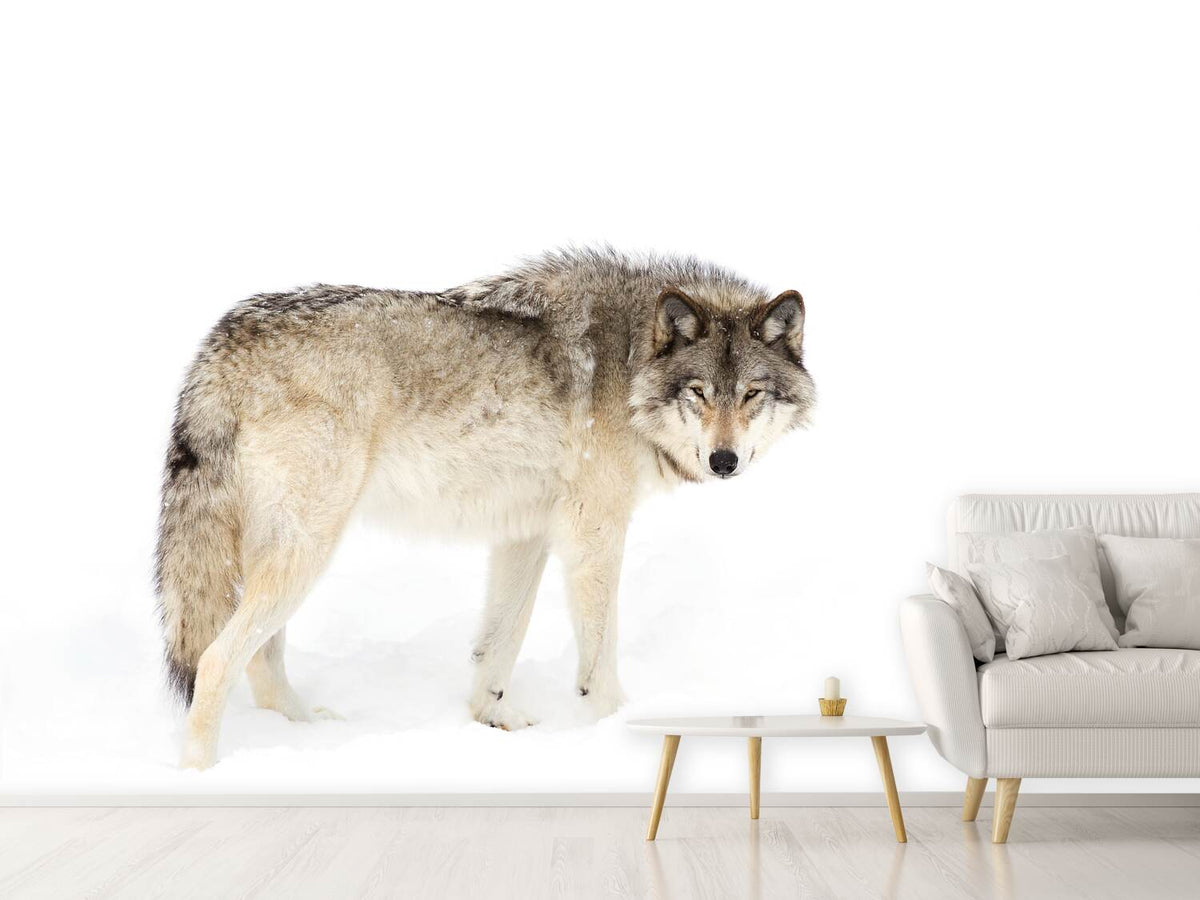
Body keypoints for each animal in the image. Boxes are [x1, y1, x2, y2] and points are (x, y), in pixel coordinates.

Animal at [156, 248, 815, 768]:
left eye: (751, 394)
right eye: (698, 393)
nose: (724, 461)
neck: (630, 361)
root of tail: (222, 339)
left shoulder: (527, 533)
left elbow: (499, 643)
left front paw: (491, 720)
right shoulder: (593, 533)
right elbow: (599, 660)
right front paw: (612, 731)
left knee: (262, 663)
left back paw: (308, 735)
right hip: (307, 550)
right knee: (215, 661)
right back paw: (202, 775)